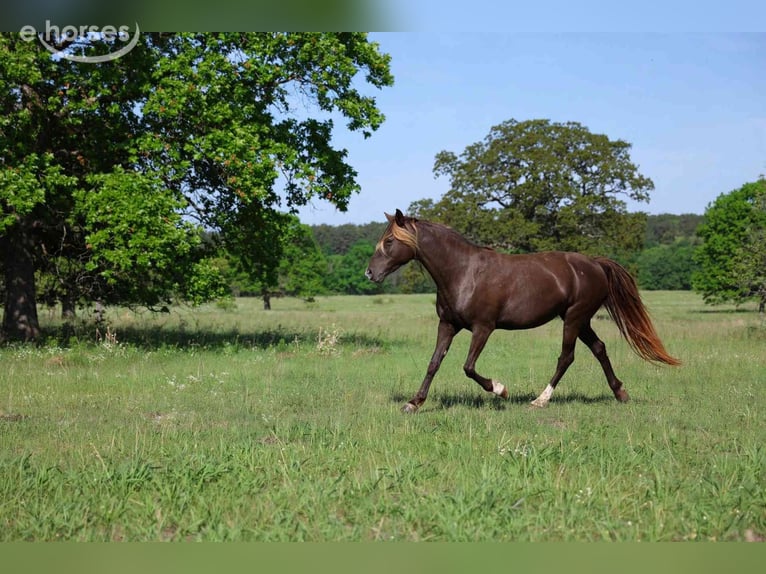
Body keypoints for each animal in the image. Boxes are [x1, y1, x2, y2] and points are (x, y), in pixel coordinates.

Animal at [365, 209, 680, 413]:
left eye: (389, 241)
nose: (370, 273)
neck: (463, 272)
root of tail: (594, 263)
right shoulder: (447, 325)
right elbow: (434, 363)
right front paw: (413, 403)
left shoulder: (483, 327)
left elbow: (468, 367)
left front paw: (500, 390)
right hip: (580, 320)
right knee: (599, 348)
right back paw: (620, 393)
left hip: (574, 318)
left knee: (566, 357)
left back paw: (540, 400)